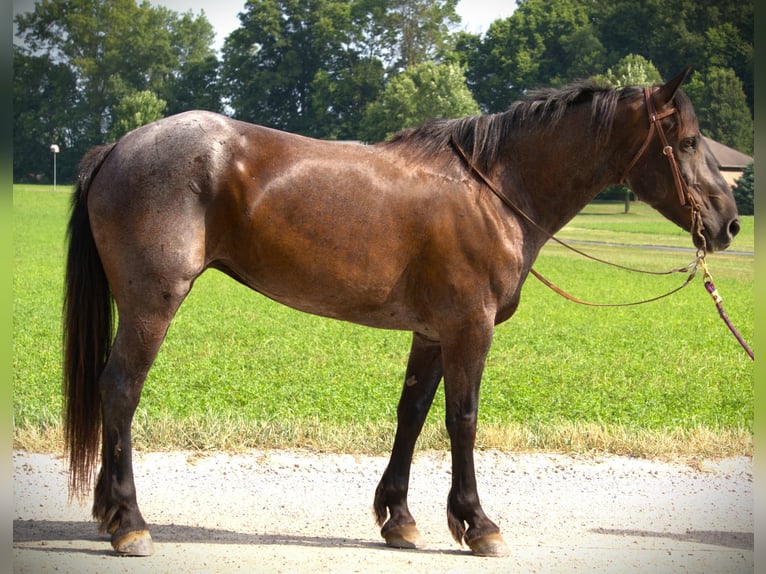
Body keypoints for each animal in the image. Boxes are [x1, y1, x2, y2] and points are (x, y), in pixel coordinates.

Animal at [63, 68, 740, 557]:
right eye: (686, 143)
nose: (730, 224)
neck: (494, 191)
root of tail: (121, 144)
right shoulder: (470, 328)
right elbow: (463, 420)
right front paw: (478, 523)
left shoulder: (432, 333)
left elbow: (411, 415)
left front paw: (399, 518)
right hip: (153, 303)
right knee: (120, 390)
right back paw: (130, 523)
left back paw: (109, 514)